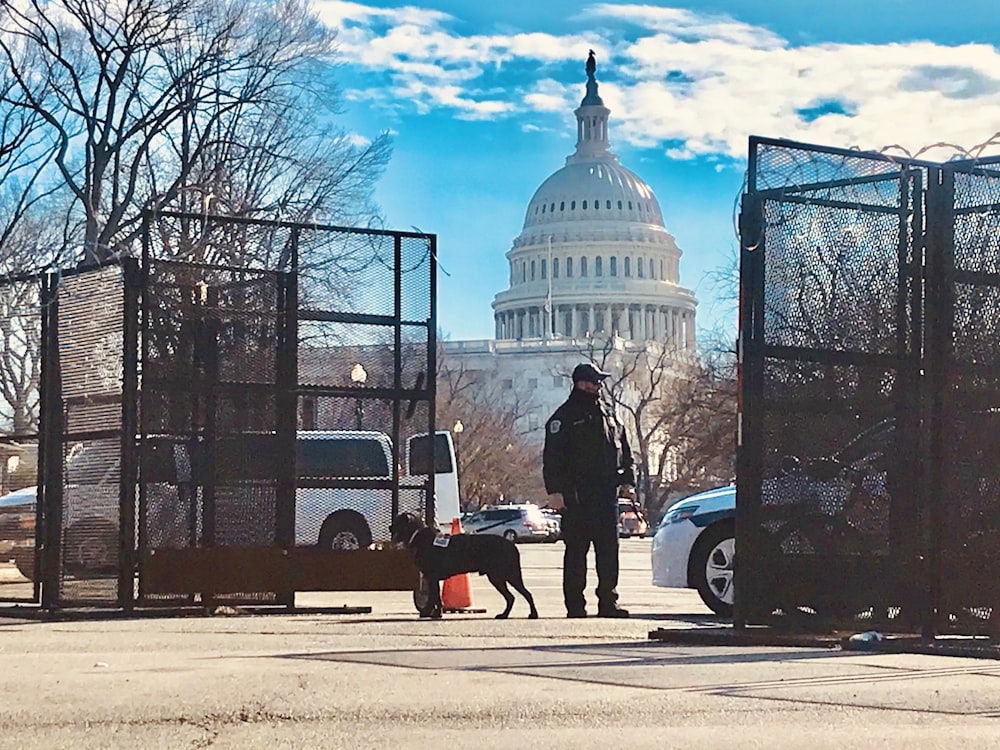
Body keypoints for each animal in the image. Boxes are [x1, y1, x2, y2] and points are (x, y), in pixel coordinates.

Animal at [388, 512, 536, 624]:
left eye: (398, 521)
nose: (390, 527)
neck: (419, 536)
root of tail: (512, 544)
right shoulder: (431, 578)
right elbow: (434, 597)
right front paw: (432, 612)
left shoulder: (432, 576)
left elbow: (434, 597)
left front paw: (433, 613)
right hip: (496, 577)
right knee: (511, 597)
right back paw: (504, 615)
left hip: (509, 574)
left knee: (526, 594)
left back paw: (533, 614)